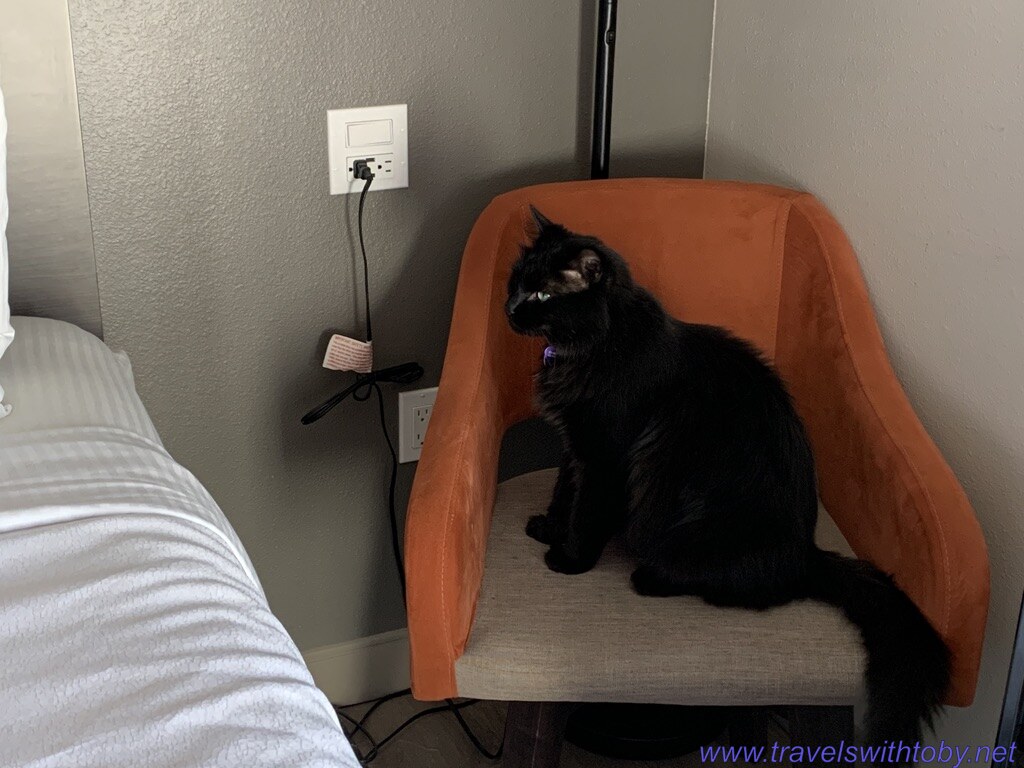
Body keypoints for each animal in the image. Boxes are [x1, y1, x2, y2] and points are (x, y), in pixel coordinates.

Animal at [504, 206, 950, 753]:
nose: (509, 308)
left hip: (690, 533)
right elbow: (562, 495)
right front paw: (547, 529)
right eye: (516, 283)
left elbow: (585, 512)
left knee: (748, 590)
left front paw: (568, 561)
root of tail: (808, 553)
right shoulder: (575, 448)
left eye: (542, 295)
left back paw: (649, 579)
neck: (597, 343)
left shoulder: (603, 454)